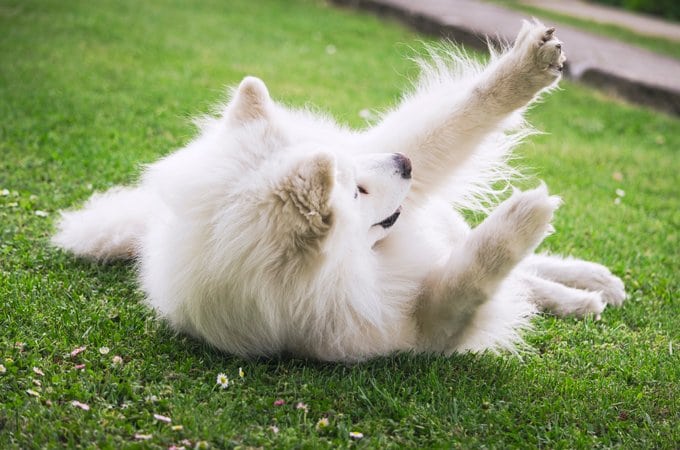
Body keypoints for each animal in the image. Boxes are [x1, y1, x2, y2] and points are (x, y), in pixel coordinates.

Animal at [53, 22, 628, 364]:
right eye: (356, 190)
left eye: (355, 170)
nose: (404, 162)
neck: (361, 263)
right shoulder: (424, 330)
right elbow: (473, 276)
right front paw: (525, 215)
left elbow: (464, 114)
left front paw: (529, 67)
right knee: (521, 281)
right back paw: (583, 297)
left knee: (531, 274)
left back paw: (592, 283)